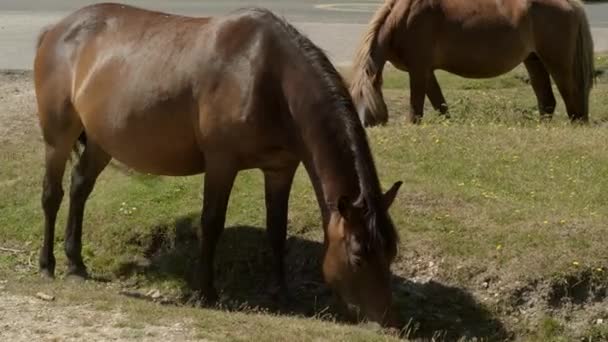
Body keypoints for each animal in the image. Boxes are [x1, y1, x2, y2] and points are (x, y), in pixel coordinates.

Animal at [33, 2, 404, 326]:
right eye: (357, 257)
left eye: (390, 253)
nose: (387, 322)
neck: (270, 76)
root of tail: (56, 29)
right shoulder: (221, 163)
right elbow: (211, 223)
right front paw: (206, 292)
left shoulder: (280, 168)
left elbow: (276, 229)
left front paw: (280, 292)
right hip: (57, 138)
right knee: (52, 195)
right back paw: (47, 265)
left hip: (101, 141)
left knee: (80, 187)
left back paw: (75, 263)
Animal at [352, 0, 592, 125]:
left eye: (368, 103)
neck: (402, 19)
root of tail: (571, 4)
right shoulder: (427, 72)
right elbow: (440, 105)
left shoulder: (418, 70)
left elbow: (416, 109)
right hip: (533, 60)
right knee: (547, 100)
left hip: (557, 62)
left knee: (572, 96)